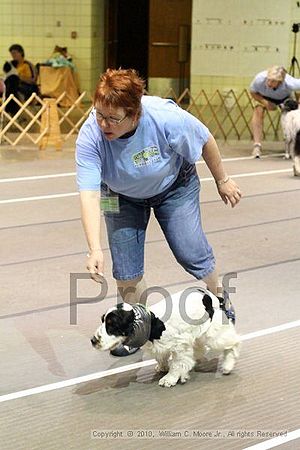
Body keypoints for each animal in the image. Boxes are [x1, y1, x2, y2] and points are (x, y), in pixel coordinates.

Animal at [90, 288, 240, 386]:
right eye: (103, 320)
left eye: (112, 324)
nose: (93, 340)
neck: (153, 324)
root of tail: (212, 297)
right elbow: (161, 357)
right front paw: (163, 367)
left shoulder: (180, 345)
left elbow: (177, 363)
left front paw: (169, 379)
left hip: (213, 333)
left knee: (233, 342)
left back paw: (227, 365)